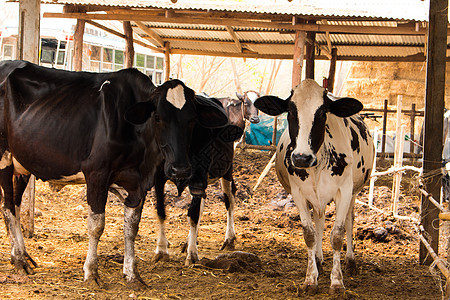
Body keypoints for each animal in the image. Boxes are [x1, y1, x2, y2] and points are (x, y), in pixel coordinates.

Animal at [0, 60, 227, 288]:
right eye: (158, 117)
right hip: (4, 158)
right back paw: (19, 260)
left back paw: (22, 254)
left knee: (16, 206)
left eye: (192, 120)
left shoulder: (139, 183)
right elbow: (96, 225)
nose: (180, 169)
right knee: (8, 207)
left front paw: (132, 274)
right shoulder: (97, 173)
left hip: (23, 164)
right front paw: (91, 272)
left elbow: (131, 227)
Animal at [154, 95, 244, 266]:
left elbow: (193, 215)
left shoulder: (199, 177)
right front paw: (162, 250)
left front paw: (192, 255)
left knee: (229, 199)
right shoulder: (158, 177)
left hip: (227, 171)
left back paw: (229, 239)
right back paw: (190, 240)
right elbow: (161, 212)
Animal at [255, 78, 374, 296]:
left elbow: (337, 235)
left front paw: (337, 282)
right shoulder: (299, 192)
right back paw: (318, 260)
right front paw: (311, 279)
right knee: (319, 218)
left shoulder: (344, 191)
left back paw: (350, 261)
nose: (302, 158)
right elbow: (309, 234)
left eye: (322, 113)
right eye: (290, 111)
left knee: (350, 220)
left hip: (354, 191)